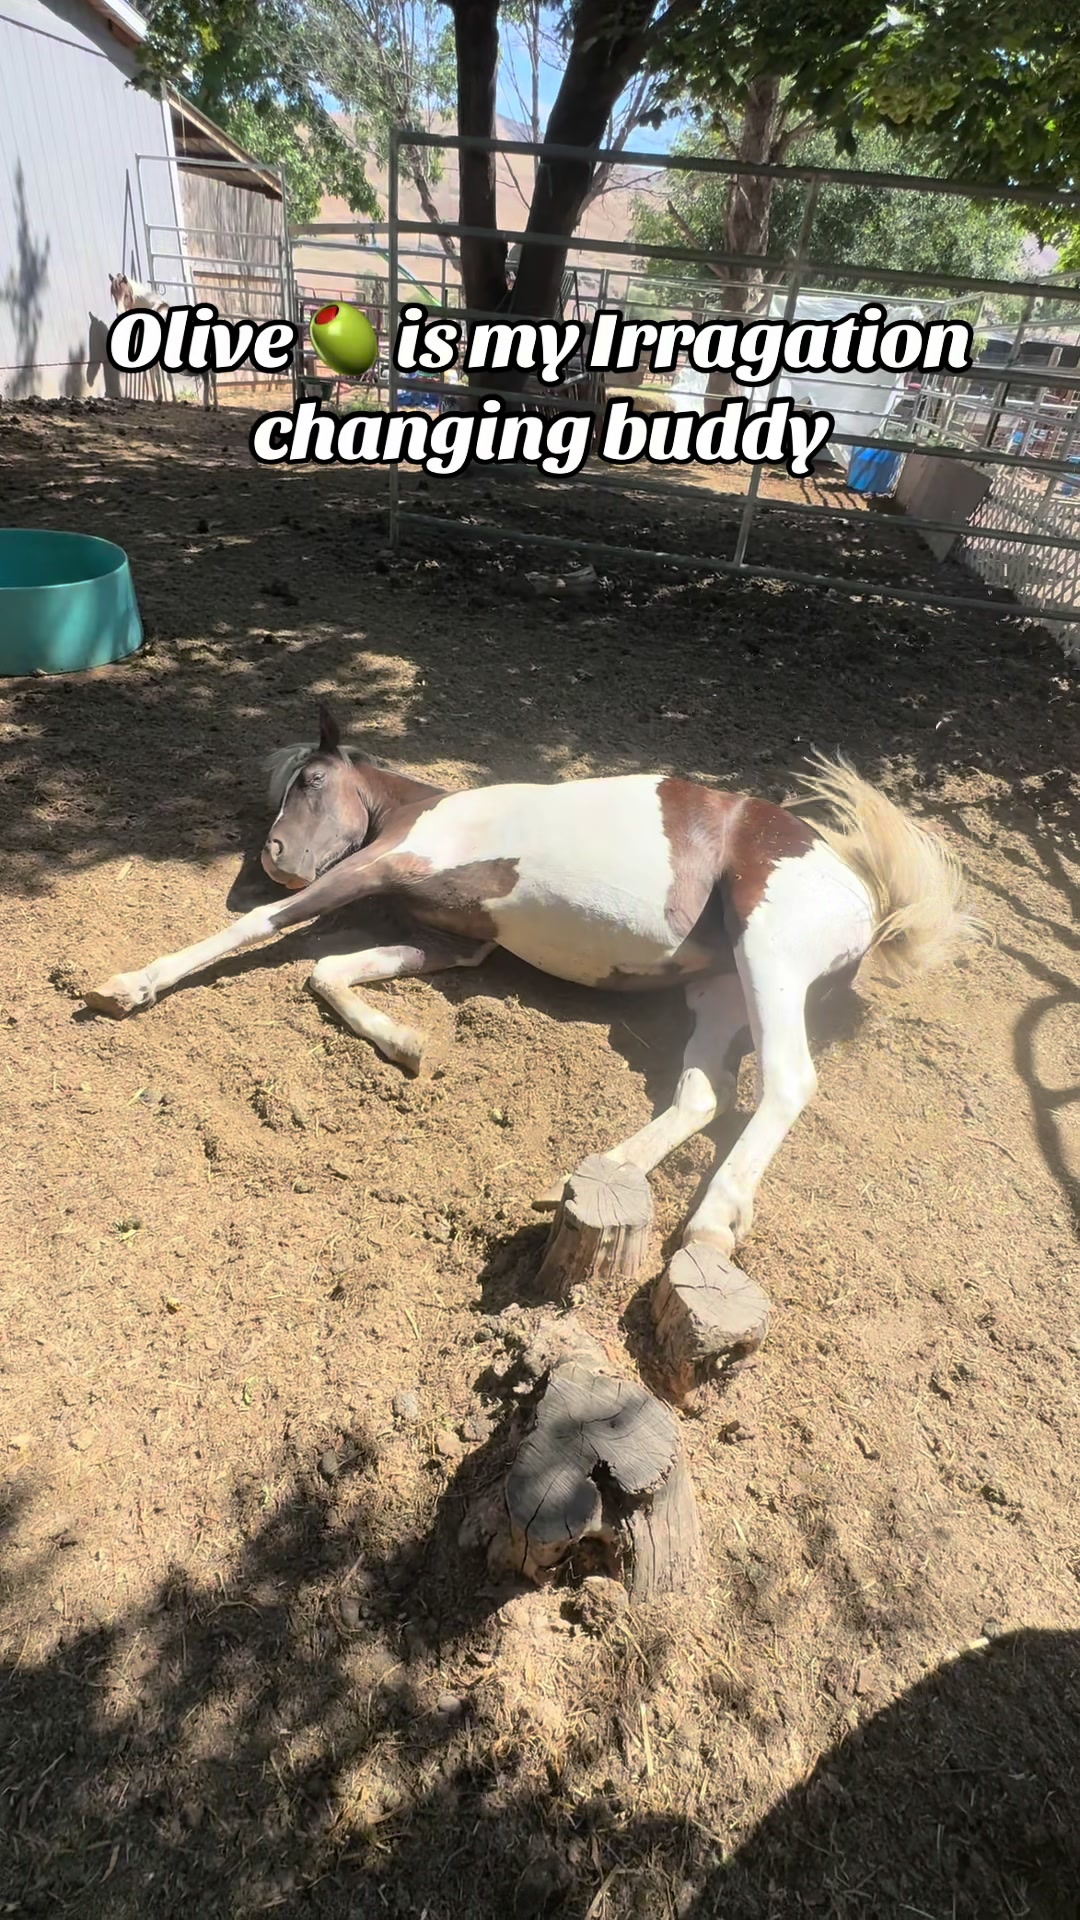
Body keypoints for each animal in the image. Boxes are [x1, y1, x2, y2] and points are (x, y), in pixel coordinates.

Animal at [83, 707, 983, 1260]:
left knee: (788, 1081)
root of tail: (863, 897)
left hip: (770, 956)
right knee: (704, 1093)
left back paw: (714, 1220)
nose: (273, 859)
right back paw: (587, 1174)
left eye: (308, 780)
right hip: (721, 993)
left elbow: (263, 933)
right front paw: (408, 1045)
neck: (431, 813)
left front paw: (126, 986)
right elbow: (329, 970)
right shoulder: (451, 943)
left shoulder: (375, 872)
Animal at [108, 273, 217, 410]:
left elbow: (158, 375)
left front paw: (160, 399)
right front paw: (172, 399)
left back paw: (207, 405)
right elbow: (166, 376)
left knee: (207, 377)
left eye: (126, 295)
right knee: (213, 377)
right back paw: (215, 406)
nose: (119, 314)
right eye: (113, 294)